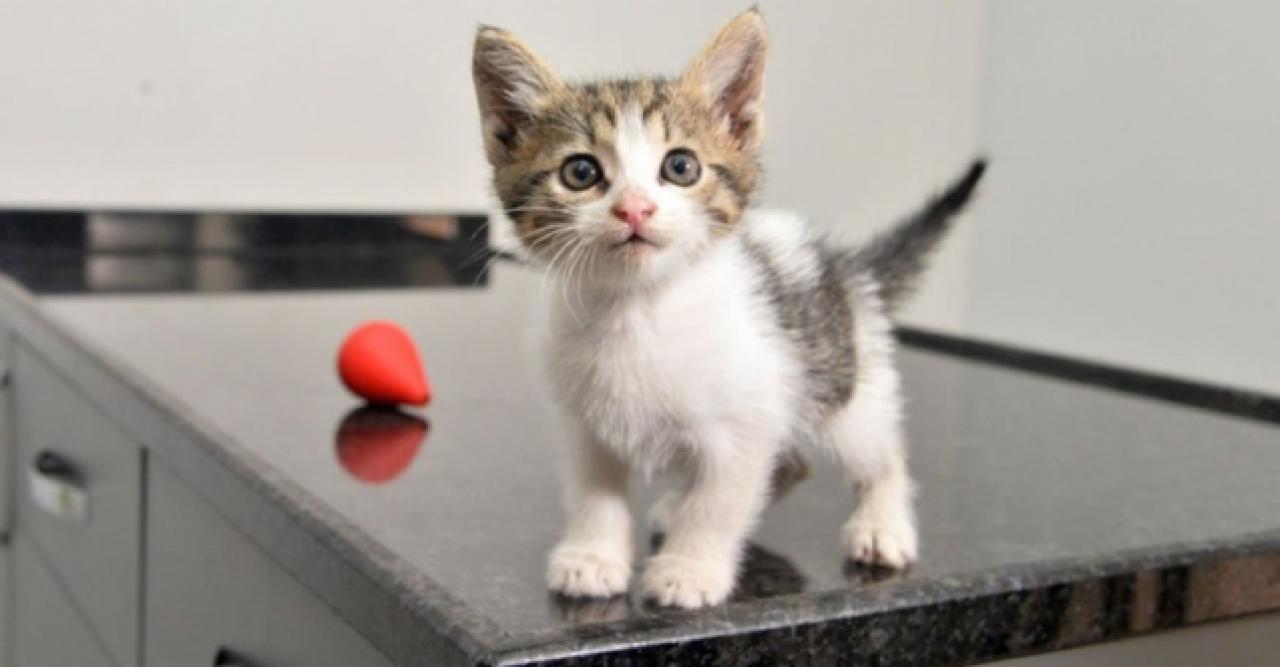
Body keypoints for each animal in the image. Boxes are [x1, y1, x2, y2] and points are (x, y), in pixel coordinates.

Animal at [472, 8, 985, 609]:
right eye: (580, 173)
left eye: (680, 166)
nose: (634, 209)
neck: (639, 312)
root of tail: (847, 268)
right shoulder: (585, 428)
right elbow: (593, 494)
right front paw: (592, 557)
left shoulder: (743, 428)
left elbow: (718, 503)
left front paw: (689, 569)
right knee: (793, 463)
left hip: (839, 391)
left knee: (881, 453)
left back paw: (882, 525)